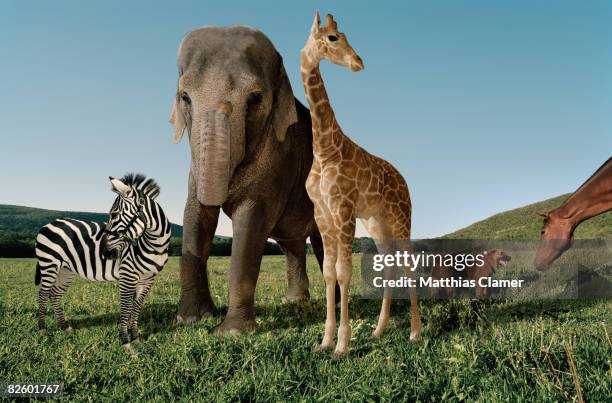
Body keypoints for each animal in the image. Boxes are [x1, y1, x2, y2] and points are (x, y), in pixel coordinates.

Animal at [35, 175, 171, 352]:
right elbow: (126, 308)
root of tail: (49, 224)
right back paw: (42, 329)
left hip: (65, 270)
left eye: (114, 214)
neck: (155, 245)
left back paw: (63, 327)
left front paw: (135, 338)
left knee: (54, 295)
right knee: (43, 294)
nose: (105, 252)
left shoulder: (148, 279)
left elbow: (136, 308)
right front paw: (125, 341)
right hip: (49, 264)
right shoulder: (128, 275)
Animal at [170, 26, 328, 334]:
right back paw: (294, 302)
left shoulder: (279, 160)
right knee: (293, 244)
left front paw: (232, 333)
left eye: (255, 99)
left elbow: (251, 222)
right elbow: (195, 216)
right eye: (185, 97)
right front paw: (192, 319)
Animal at [302, 11, 420, 356]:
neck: (324, 148)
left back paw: (415, 333)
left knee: (409, 264)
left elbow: (344, 272)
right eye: (332, 38)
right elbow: (328, 273)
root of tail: (405, 181)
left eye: (343, 35)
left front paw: (342, 345)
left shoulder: (343, 208)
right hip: (376, 221)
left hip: (400, 217)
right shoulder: (321, 212)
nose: (358, 62)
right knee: (390, 264)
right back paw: (379, 331)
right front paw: (324, 342)